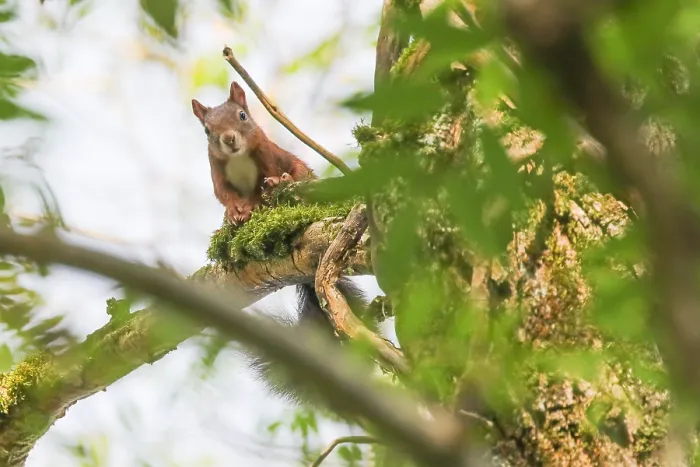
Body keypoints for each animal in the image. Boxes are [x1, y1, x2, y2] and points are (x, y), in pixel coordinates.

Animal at [192, 81, 369, 405]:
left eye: (242, 115)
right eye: (207, 130)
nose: (228, 139)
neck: (237, 158)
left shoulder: (269, 155)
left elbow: (269, 181)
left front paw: (263, 195)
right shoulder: (217, 172)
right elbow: (225, 195)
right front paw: (234, 213)